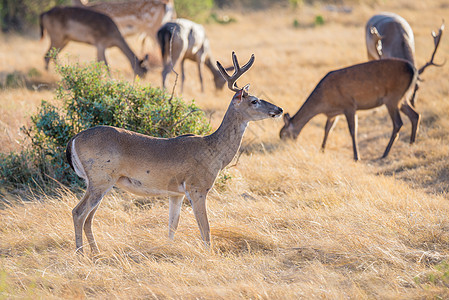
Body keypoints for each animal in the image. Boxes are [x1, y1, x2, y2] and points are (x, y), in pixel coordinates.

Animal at [65, 52, 284, 254]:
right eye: (254, 100)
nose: (279, 109)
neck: (214, 151)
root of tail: (74, 140)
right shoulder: (197, 188)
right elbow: (205, 229)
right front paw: (210, 255)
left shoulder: (175, 193)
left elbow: (172, 227)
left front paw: (167, 250)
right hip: (100, 179)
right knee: (78, 212)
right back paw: (80, 254)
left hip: (101, 182)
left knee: (88, 217)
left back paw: (96, 253)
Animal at [280, 59, 420, 162]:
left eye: (283, 134)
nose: (285, 147)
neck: (324, 102)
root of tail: (414, 70)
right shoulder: (333, 114)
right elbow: (327, 129)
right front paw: (322, 150)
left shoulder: (349, 105)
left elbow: (353, 130)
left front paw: (356, 157)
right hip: (402, 98)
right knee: (415, 115)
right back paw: (411, 144)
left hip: (392, 97)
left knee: (398, 123)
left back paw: (385, 154)